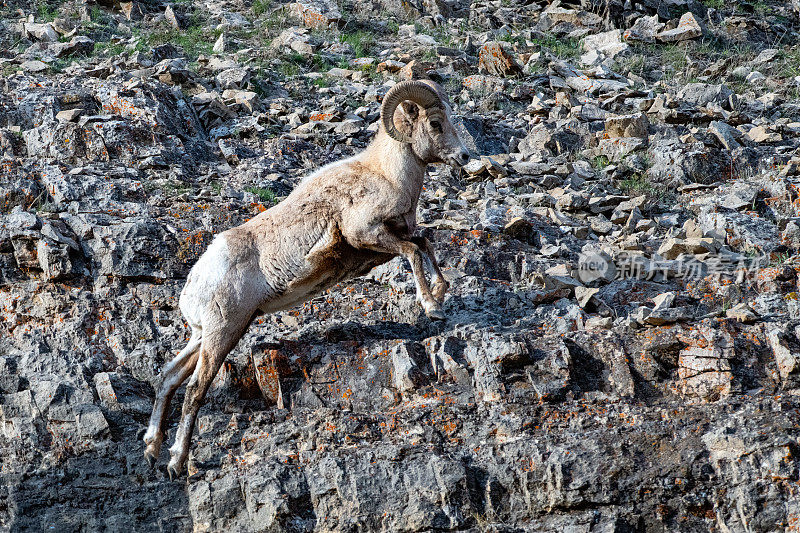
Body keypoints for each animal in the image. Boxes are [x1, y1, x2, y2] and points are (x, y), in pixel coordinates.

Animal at [144, 80, 472, 478]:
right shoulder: (367, 234)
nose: (465, 157)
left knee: (167, 378)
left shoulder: (387, 241)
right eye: (436, 123)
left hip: (205, 335)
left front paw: (440, 293)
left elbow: (423, 242)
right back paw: (176, 462)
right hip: (223, 333)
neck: (387, 175)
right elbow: (413, 251)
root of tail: (194, 286)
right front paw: (432, 307)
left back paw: (151, 449)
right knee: (194, 390)